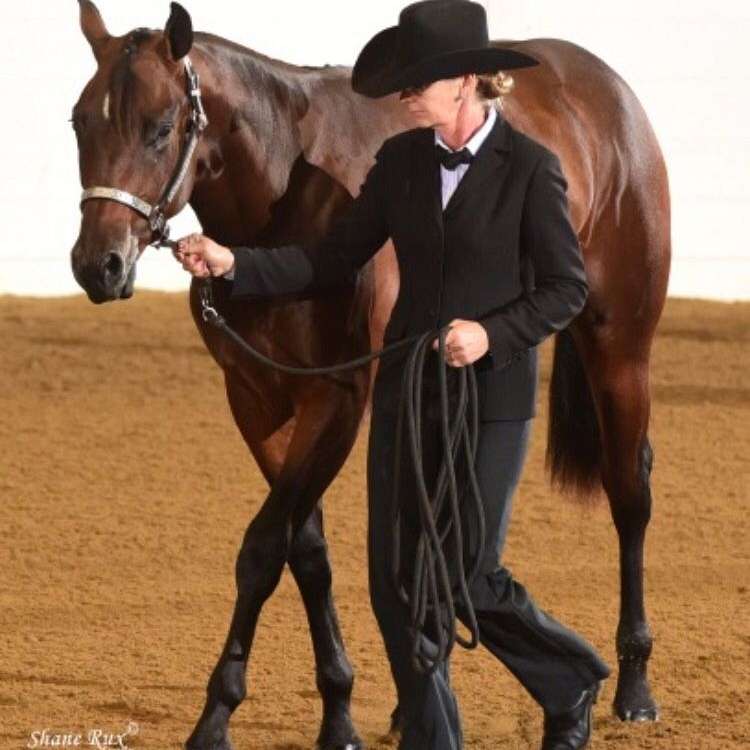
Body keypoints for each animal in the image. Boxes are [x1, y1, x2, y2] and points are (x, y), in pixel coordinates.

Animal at [70, 1, 668, 750]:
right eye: (79, 121)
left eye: (159, 128)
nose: (98, 266)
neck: (284, 192)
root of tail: (607, 90)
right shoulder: (257, 399)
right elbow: (307, 551)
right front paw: (340, 710)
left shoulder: (337, 398)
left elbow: (262, 549)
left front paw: (215, 717)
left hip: (620, 346)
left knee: (630, 492)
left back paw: (633, 687)